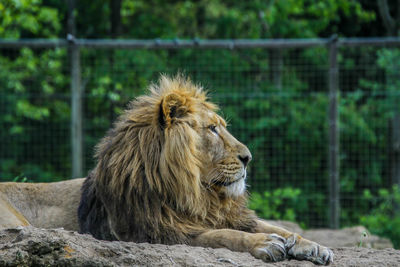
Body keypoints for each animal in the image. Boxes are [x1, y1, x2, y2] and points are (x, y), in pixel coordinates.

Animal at [78, 75, 334, 266]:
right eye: (212, 129)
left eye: (222, 127)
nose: (248, 158)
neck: (197, 193)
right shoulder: (161, 233)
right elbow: (222, 235)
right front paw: (263, 243)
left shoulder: (229, 215)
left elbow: (277, 227)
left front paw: (313, 246)